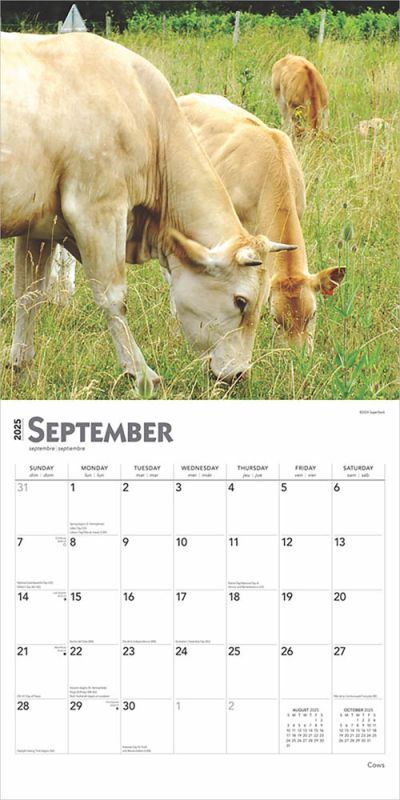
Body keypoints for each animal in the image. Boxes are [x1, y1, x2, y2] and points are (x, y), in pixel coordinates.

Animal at [1, 32, 294, 393]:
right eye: (241, 301)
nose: (238, 375)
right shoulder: (97, 208)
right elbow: (113, 296)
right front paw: (141, 374)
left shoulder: (40, 227)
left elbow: (29, 296)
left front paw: (22, 370)